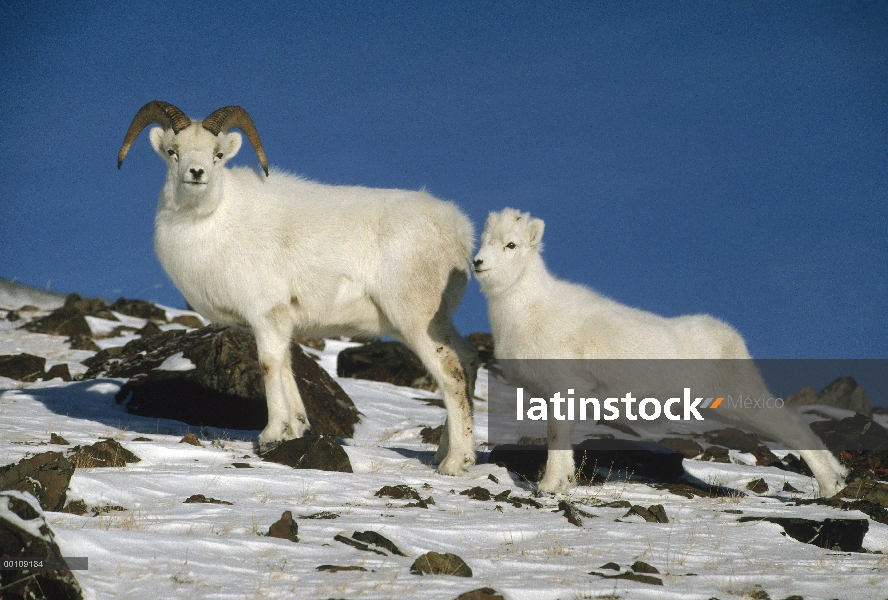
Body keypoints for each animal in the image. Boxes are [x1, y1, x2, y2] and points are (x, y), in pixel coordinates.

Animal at [119, 101, 478, 474]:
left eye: (217, 154)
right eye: (172, 152)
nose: (196, 173)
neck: (213, 223)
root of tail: (460, 231)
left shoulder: (265, 315)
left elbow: (269, 365)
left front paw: (270, 435)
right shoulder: (280, 322)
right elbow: (287, 368)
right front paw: (294, 430)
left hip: (416, 321)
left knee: (451, 375)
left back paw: (454, 463)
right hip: (439, 322)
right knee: (468, 361)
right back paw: (451, 453)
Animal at [476, 209, 848, 494]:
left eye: (511, 244)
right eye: (484, 239)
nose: (478, 262)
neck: (527, 308)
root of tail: (731, 337)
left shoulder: (564, 389)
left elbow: (556, 439)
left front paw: (549, 488)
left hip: (743, 401)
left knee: (793, 426)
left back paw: (831, 486)